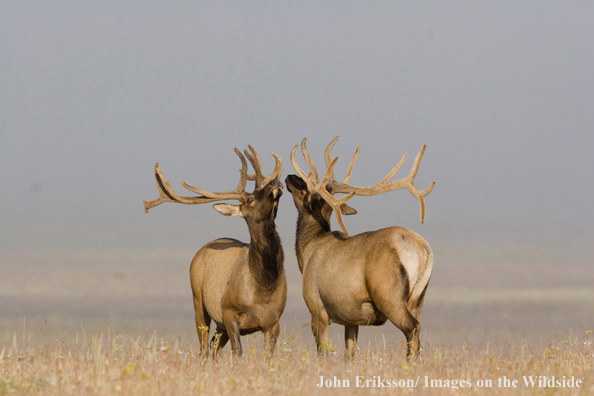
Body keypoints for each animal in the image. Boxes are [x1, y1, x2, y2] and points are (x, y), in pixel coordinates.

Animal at [141, 147, 284, 358]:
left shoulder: (274, 319)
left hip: (220, 324)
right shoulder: (228, 311)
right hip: (199, 301)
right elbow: (237, 351)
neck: (262, 288)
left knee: (212, 348)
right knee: (203, 348)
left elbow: (269, 355)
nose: (276, 182)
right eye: (250, 198)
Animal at [286, 138, 434, 360]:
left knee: (413, 328)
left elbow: (323, 352)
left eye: (305, 188)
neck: (308, 250)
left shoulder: (316, 307)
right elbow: (349, 354)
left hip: (389, 296)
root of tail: (421, 250)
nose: (288, 177)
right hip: (418, 299)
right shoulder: (351, 318)